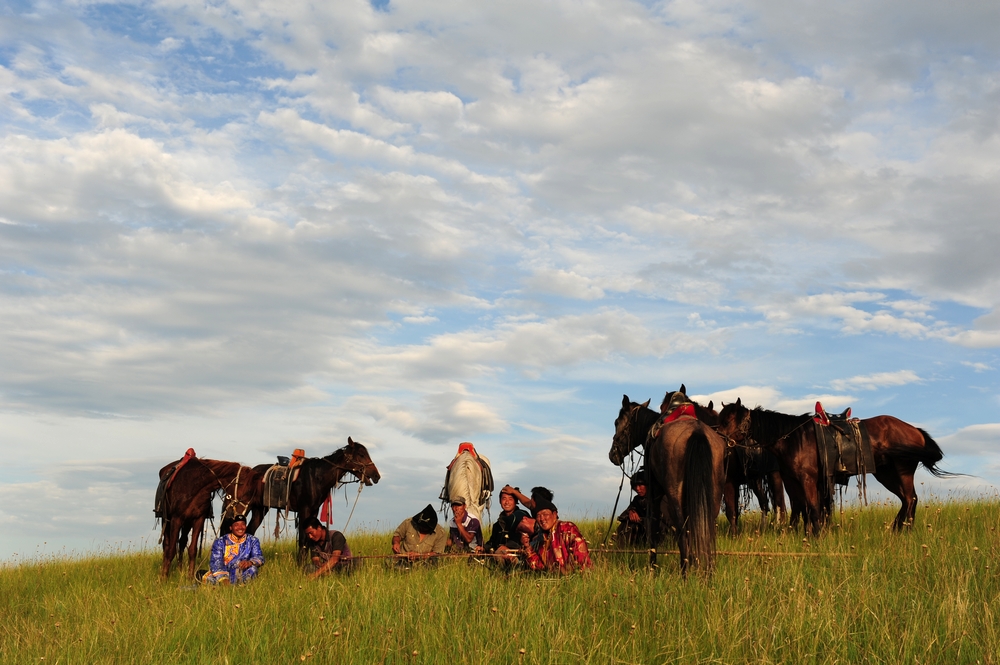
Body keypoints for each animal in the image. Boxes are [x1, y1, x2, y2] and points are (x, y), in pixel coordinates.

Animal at [248, 438, 380, 556]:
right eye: (361, 455)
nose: (376, 476)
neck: (317, 477)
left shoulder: (313, 512)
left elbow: (308, 540)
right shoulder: (304, 510)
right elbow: (302, 541)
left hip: (259, 509)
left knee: (250, 530)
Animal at [608, 392, 728, 572]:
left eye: (616, 422)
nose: (613, 455)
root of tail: (697, 432)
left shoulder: (654, 493)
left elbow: (653, 527)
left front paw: (652, 567)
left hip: (675, 495)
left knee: (682, 532)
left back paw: (685, 572)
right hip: (713, 496)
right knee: (706, 530)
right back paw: (707, 571)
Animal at [660, 384, 784, 536]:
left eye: (675, 408)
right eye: (661, 407)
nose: (662, 427)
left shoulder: (729, 482)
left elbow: (731, 511)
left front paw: (734, 535)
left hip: (774, 474)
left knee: (779, 502)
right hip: (755, 479)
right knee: (764, 503)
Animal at [720, 400, 952, 536]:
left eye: (729, 420)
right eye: (721, 419)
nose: (721, 440)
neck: (794, 438)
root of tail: (915, 430)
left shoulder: (808, 480)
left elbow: (813, 508)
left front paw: (817, 536)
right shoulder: (793, 482)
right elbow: (803, 508)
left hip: (901, 472)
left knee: (911, 499)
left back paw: (906, 530)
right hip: (887, 475)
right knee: (907, 500)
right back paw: (897, 530)